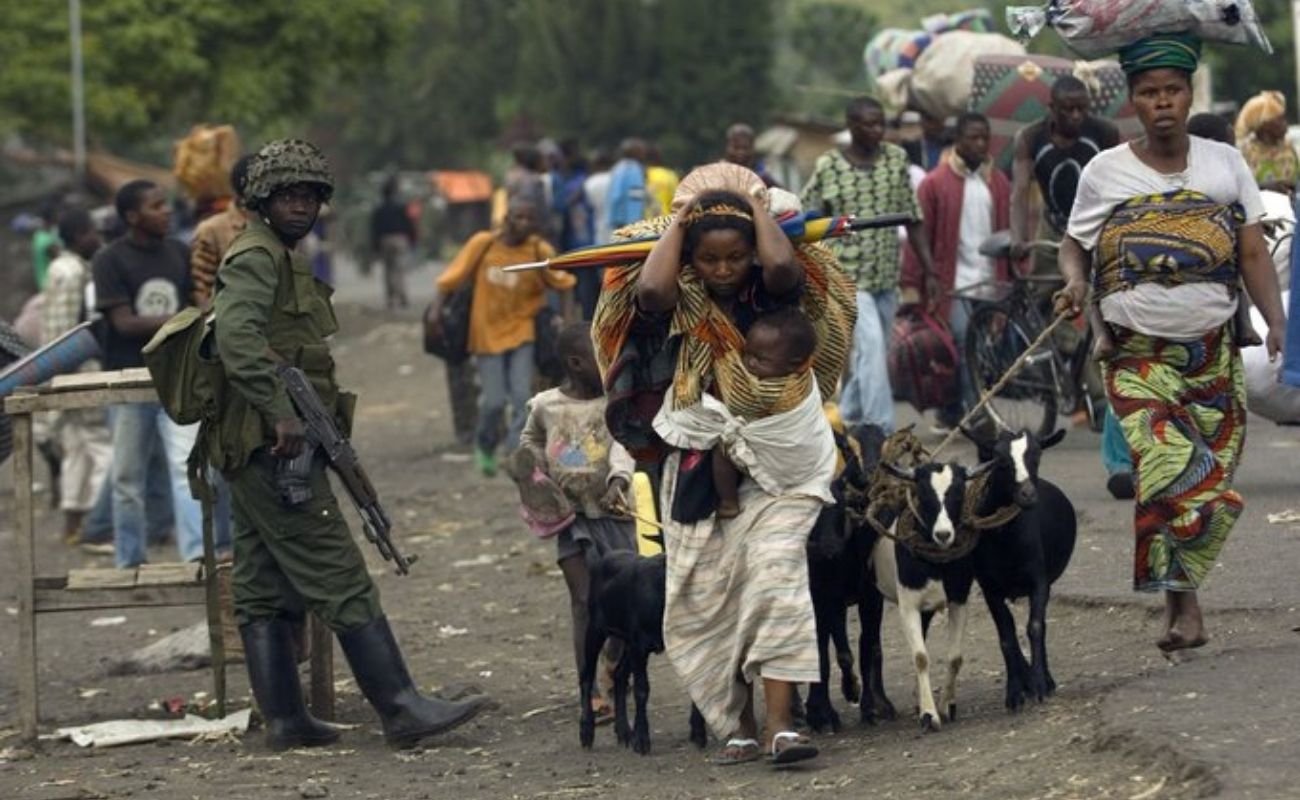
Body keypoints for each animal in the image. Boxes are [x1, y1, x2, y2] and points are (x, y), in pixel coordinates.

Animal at [577, 554, 707, 754]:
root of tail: (606, 557)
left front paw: (699, 734)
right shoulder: (640, 646)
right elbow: (642, 689)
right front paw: (642, 741)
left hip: (627, 641)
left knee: (619, 674)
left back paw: (623, 732)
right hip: (596, 628)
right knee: (587, 676)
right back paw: (587, 732)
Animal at [967, 429, 1076, 712]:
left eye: (1037, 457)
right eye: (1000, 461)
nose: (1028, 494)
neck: (1007, 541)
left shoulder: (1039, 581)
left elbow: (1034, 627)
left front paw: (1038, 685)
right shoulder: (990, 588)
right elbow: (1006, 637)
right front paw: (1015, 692)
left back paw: (1046, 680)